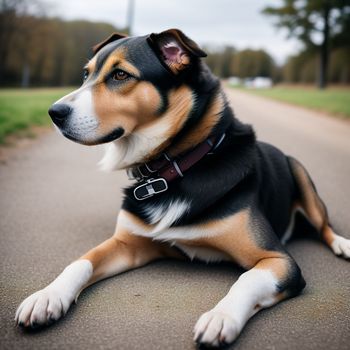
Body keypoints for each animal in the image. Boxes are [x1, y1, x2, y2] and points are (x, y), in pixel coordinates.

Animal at [15, 29, 350, 348]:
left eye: (120, 75)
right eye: (86, 74)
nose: (54, 112)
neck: (176, 167)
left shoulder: (278, 261)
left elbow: (246, 281)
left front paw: (220, 317)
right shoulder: (127, 244)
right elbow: (80, 262)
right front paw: (46, 296)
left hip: (300, 172)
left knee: (324, 226)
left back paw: (342, 244)